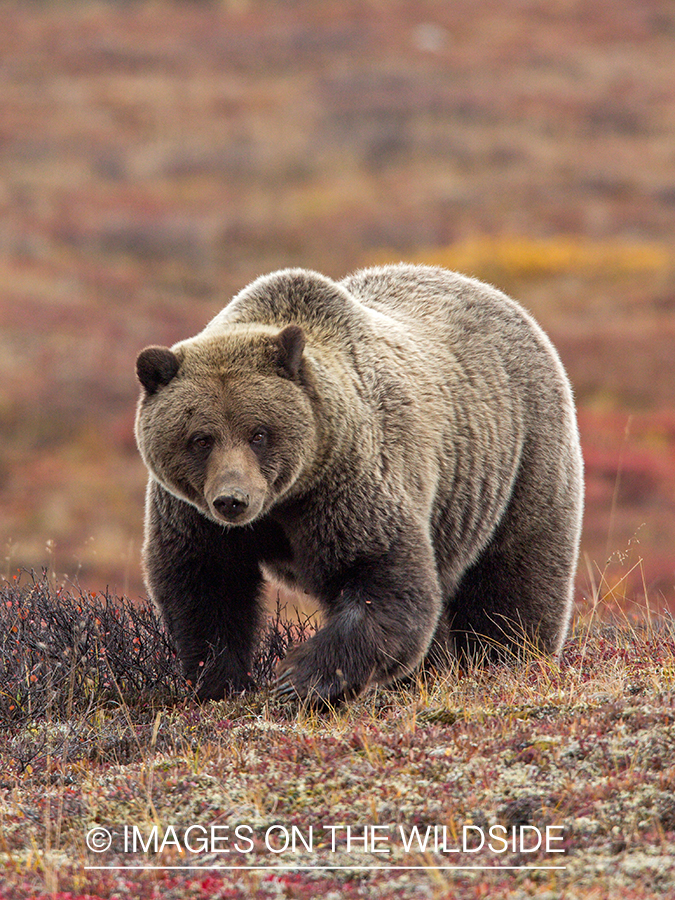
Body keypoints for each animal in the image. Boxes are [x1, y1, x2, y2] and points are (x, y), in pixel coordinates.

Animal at [135, 264, 584, 708]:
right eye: (201, 438)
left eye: (258, 434)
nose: (232, 500)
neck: (286, 498)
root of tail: (501, 297)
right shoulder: (193, 514)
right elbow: (206, 584)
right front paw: (221, 682)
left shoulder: (349, 483)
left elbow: (383, 579)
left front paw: (300, 677)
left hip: (517, 457)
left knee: (514, 578)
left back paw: (511, 659)